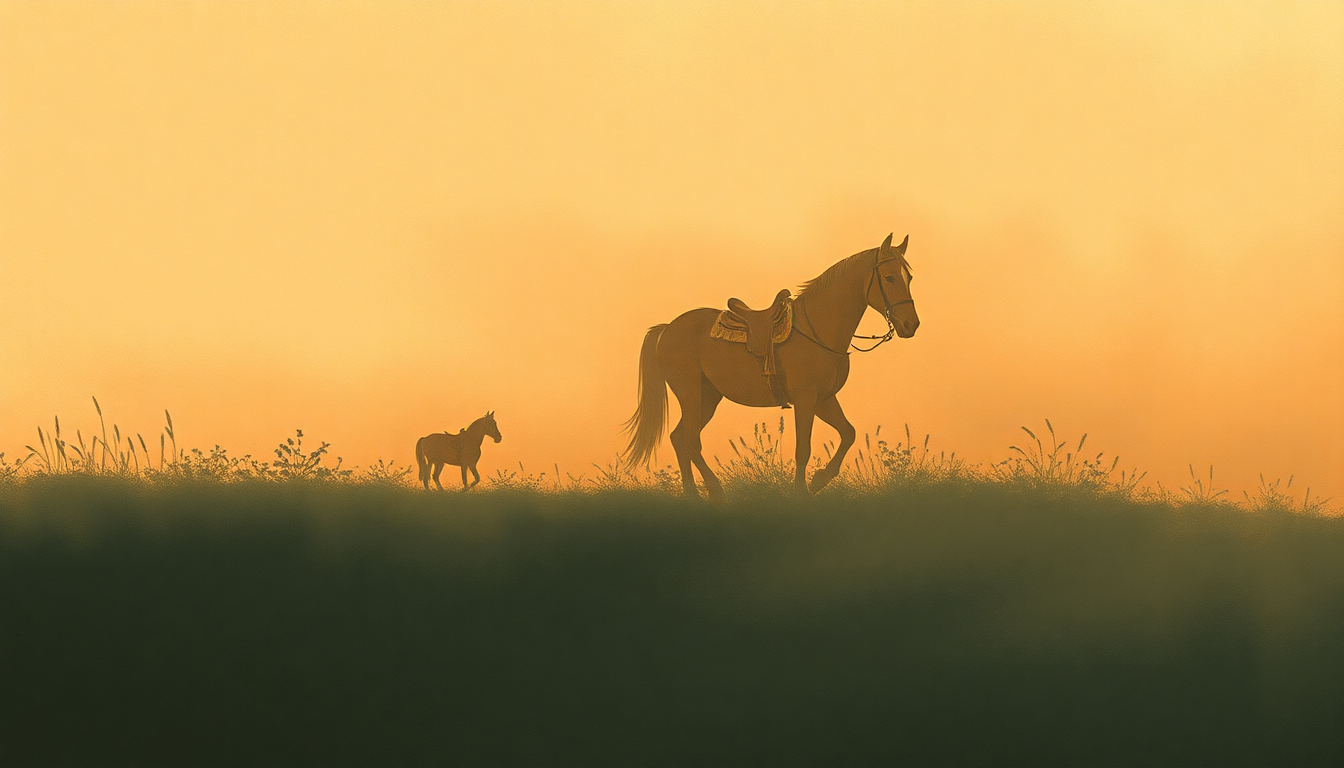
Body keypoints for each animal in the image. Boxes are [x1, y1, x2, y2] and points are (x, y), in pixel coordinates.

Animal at [622, 233, 918, 497]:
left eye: (909, 277)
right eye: (890, 277)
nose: (910, 324)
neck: (816, 329)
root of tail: (667, 329)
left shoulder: (824, 399)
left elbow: (849, 433)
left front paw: (819, 481)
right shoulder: (805, 398)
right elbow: (803, 449)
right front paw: (801, 494)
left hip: (708, 397)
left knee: (679, 438)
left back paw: (693, 496)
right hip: (690, 393)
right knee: (691, 441)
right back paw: (716, 492)